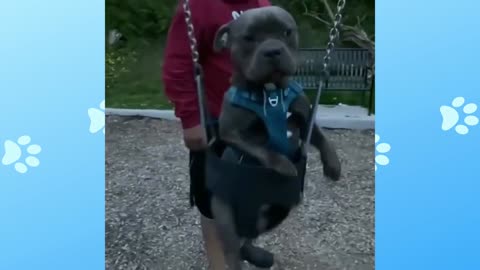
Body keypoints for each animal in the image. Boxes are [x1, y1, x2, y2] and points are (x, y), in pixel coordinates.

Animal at [210, 5, 342, 268]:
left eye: (286, 32)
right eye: (249, 38)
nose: (272, 50)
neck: (270, 92)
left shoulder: (305, 118)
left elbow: (322, 137)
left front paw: (333, 165)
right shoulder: (231, 132)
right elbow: (262, 148)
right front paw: (284, 165)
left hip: (275, 212)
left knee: (249, 236)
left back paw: (257, 254)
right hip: (225, 217)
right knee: (233, 249)